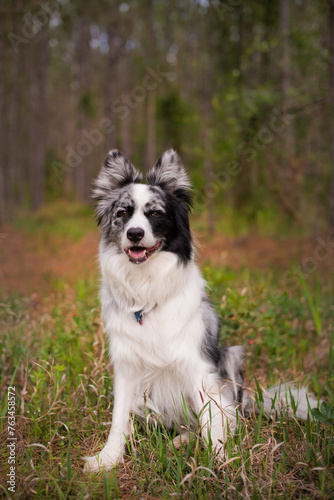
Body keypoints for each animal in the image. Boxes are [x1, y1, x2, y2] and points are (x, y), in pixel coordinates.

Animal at [85, 149, 320, 472]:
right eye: (122, 213)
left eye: (155, 213)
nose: (134, 234)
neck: (147, 287)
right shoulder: (126, 365)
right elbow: (119, 419)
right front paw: (107, 458)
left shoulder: (197, 365)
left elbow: (211, 421)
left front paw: (220, 460)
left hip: (231, 356)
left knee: (219, 417)